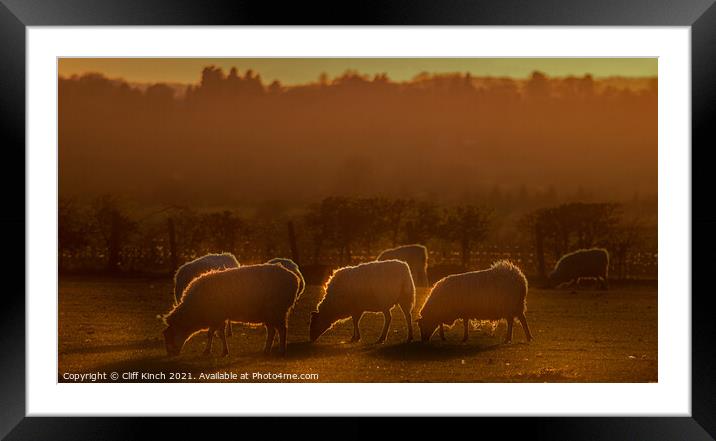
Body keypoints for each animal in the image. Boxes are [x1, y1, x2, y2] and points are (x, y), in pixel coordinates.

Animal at [159, 262, 300, 356]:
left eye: (169, 336)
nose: (171, 355)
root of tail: (294, 278)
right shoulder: (217, 317)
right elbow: (213, 333)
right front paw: (214, 350)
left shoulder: (217, 317)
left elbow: (215, 334)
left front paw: (217, 351)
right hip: (269, 314)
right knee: (272, 331)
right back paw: (266, 350)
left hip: (278, 310)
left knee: (282, 330)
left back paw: (282, 350)